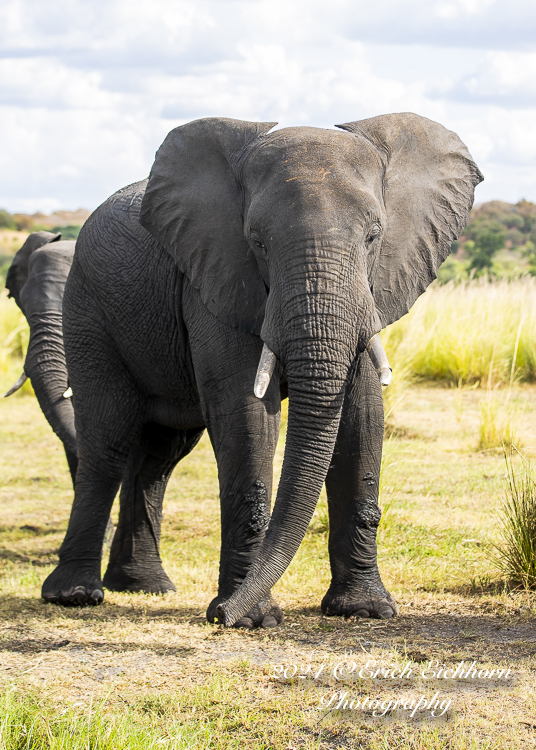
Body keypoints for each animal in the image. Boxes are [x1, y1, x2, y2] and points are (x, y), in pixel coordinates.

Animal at [40, 113, 482, 628]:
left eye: (374, 236)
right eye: (257, 242)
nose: (220, 618)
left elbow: (362, 415)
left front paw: (365, 610)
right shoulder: (217, 277)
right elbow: (246, 415)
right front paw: (253, 619)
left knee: (159, 457)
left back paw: (144, 587)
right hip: (87, 309)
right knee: (106, 441)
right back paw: (75, 594)